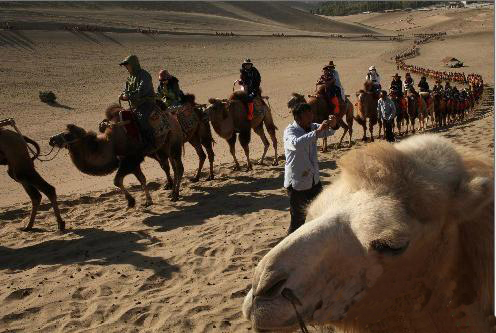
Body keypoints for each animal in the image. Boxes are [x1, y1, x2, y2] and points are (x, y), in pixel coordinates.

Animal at [49, 106, 185, 206]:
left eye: (67, 135)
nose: (51, 139)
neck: (111, 145)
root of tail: (173, 117)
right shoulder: (132, 162)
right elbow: (141, 179)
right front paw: (146, 201)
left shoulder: (130, 160)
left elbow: (118, 180)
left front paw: (132, 201)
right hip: (163, 148)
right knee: (171, 166)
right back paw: (172, 191)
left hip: (175, 145)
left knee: (179, 168)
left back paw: (175, 195)